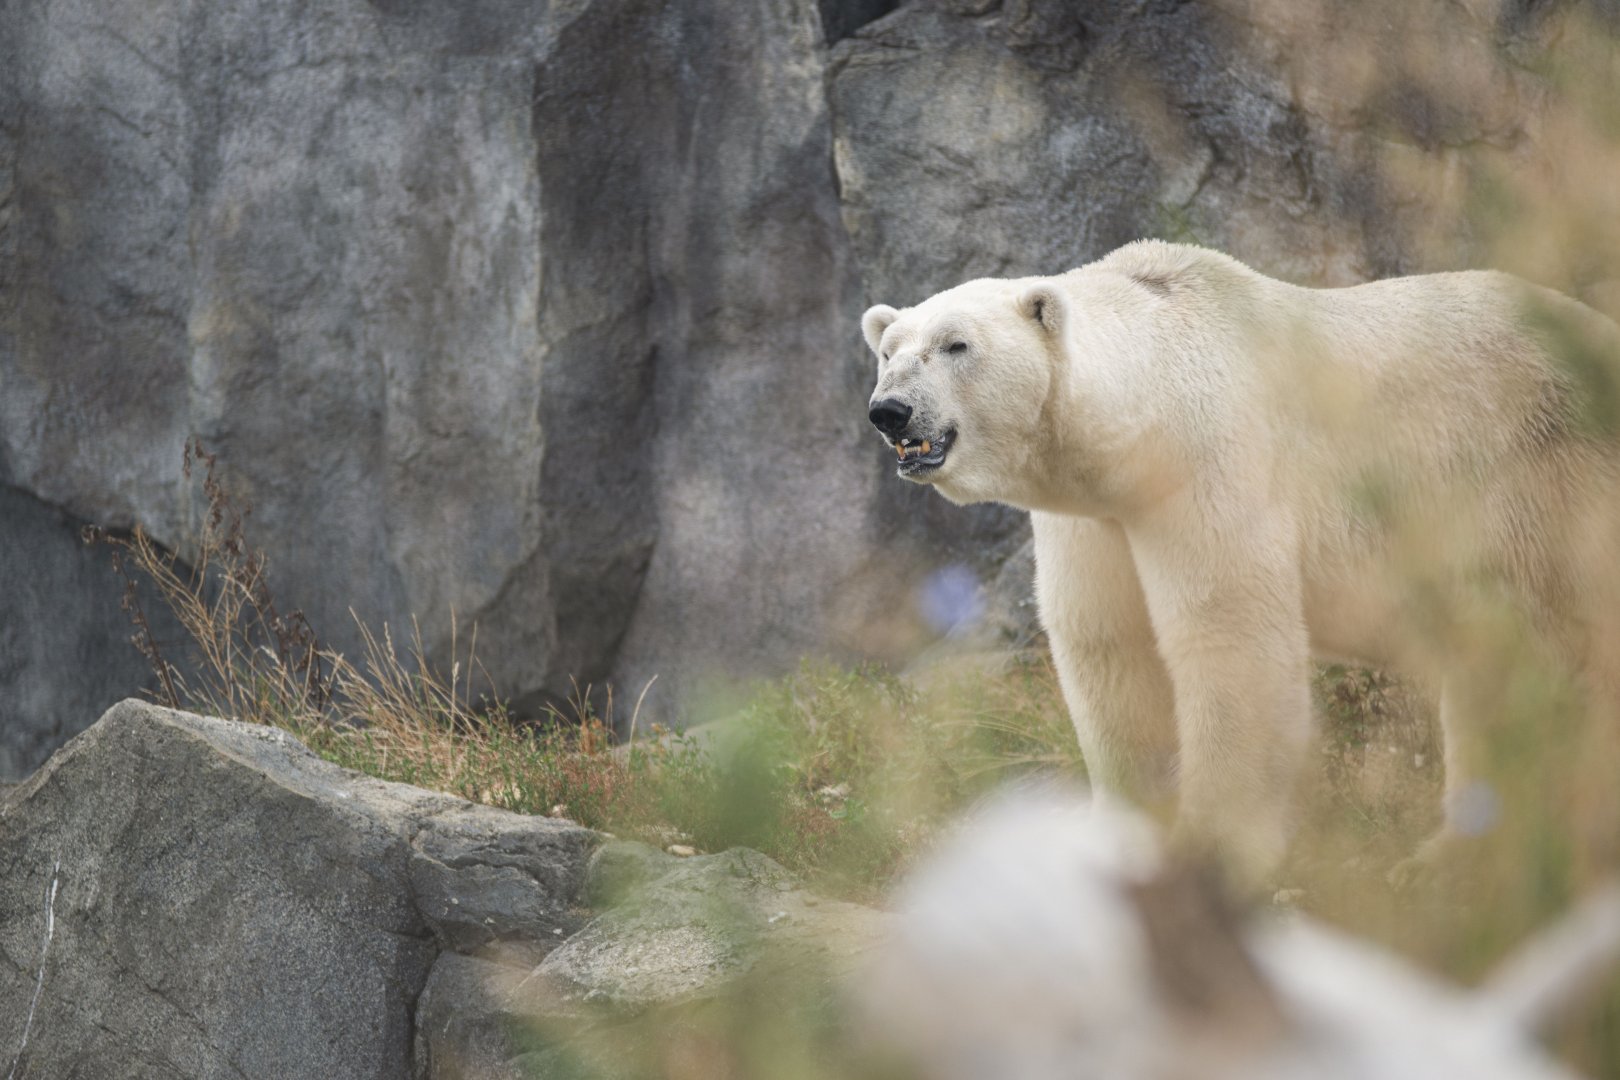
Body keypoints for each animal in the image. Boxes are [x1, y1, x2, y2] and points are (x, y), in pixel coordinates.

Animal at [861, 240, 1620, 882]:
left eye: (956, 344)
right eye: (889, 350)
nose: (889, 411)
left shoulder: (1210, 463)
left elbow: (1229, 639)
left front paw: (1214, 853)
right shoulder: (1099, 517)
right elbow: (1111, 649)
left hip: (1548, 479)